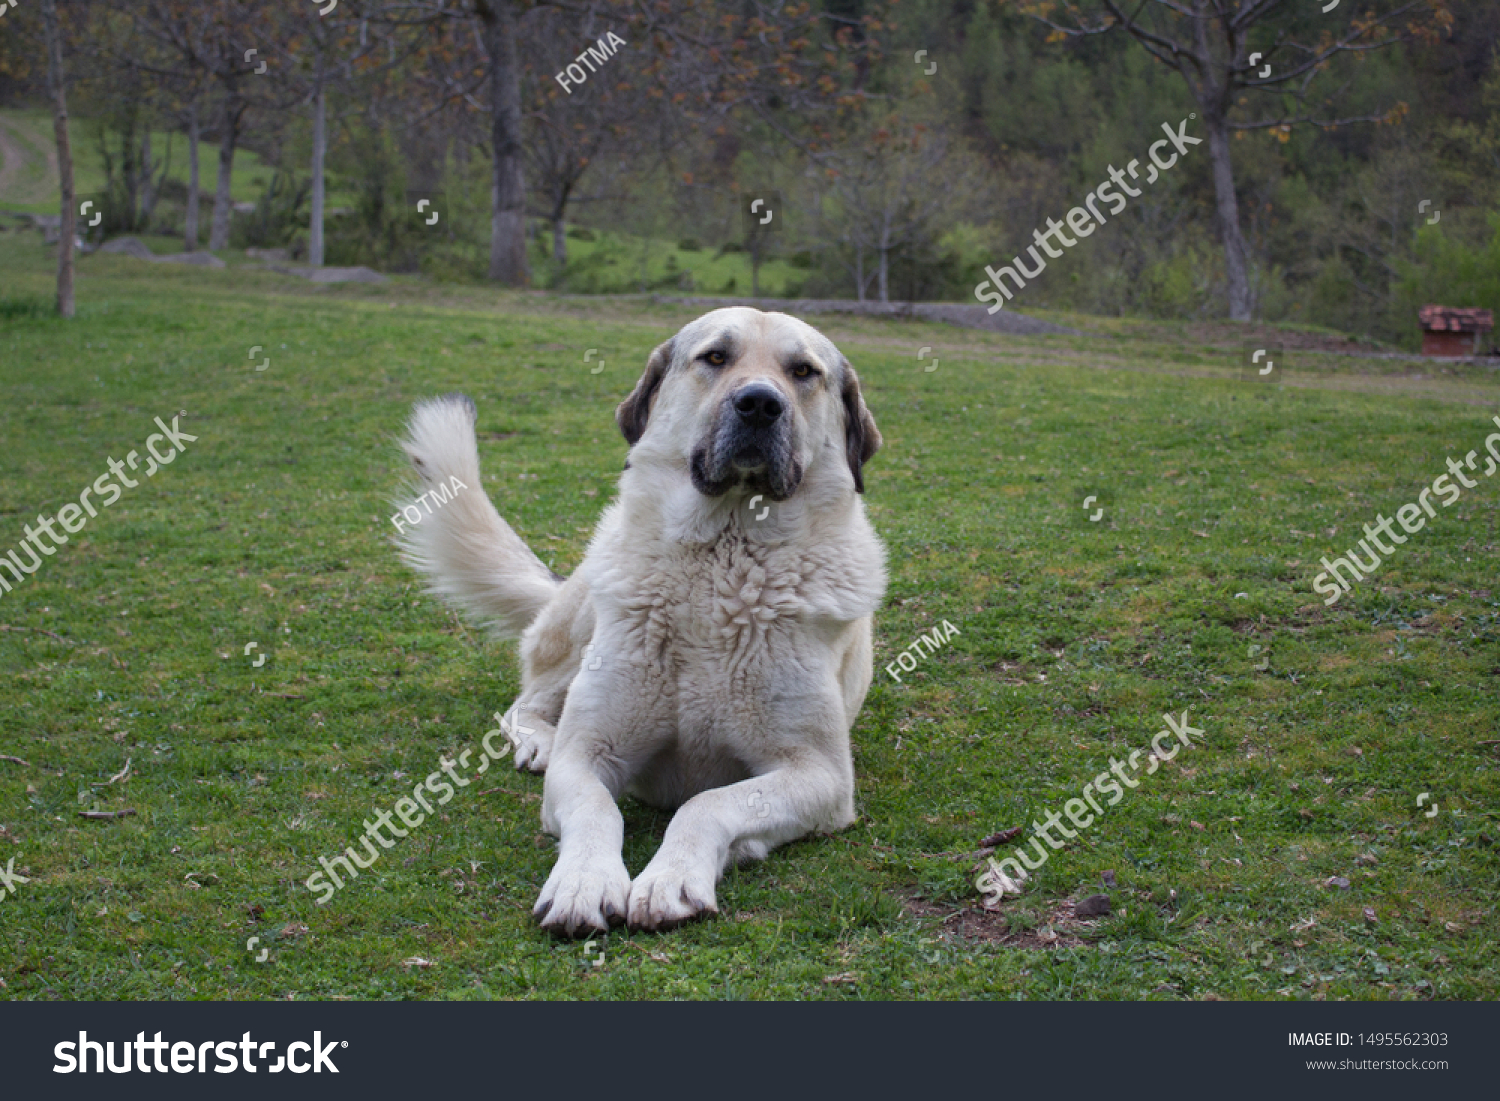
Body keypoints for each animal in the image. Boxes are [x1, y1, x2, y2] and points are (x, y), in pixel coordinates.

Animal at [399, 306, 888, 936]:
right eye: (715, 357)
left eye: (803, 371)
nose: (759, 403)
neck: (719, 561)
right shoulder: (586, 754)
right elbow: (596, 811)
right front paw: (582, 882)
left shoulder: (818, 774)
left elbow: (707, 803)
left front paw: (670, 878)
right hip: (582, 624)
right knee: (524, 703)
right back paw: (536, 742)